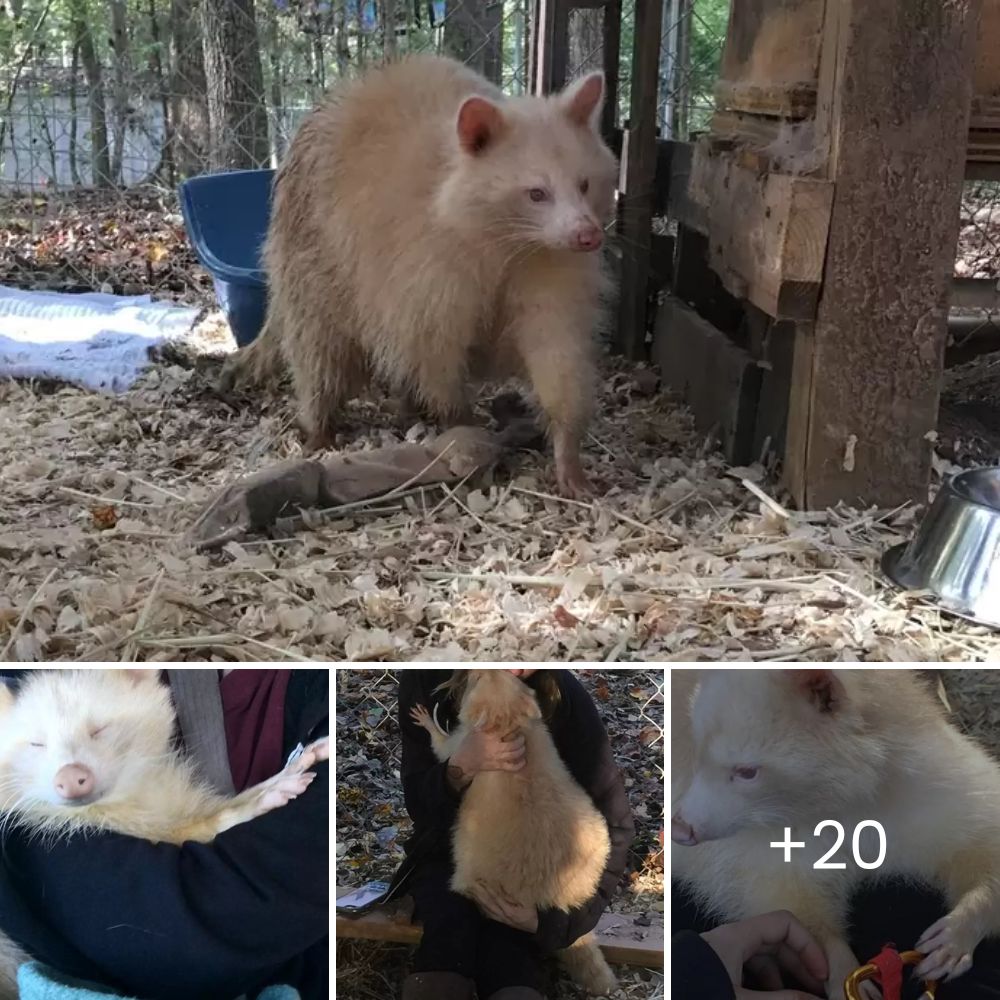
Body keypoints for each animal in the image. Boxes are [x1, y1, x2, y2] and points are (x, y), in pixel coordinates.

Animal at [0, 668, 328, 996]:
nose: (70, 778)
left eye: (99, 728)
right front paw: (263, 798)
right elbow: (195, 832)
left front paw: (294, 766)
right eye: (36, 744)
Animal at [221, 52, 616, 498]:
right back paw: (319, 421)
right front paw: (460, 419)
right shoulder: (422, 268)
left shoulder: (549, 265)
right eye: (537, 193)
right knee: (320, 347)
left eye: (584, 184)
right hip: (309, 248)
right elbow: (431, 353)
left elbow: (555, 348)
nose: (589, 235)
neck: (511, 243)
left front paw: (567, 444)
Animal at [672, 668, 1000, 1000]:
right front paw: (842, 967)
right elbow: (783, 901)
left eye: (747, 772)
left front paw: (957, 933)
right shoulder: (758, 847)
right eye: (698, 754)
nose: (679, 828)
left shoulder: (930, 784)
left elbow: (985, 839)